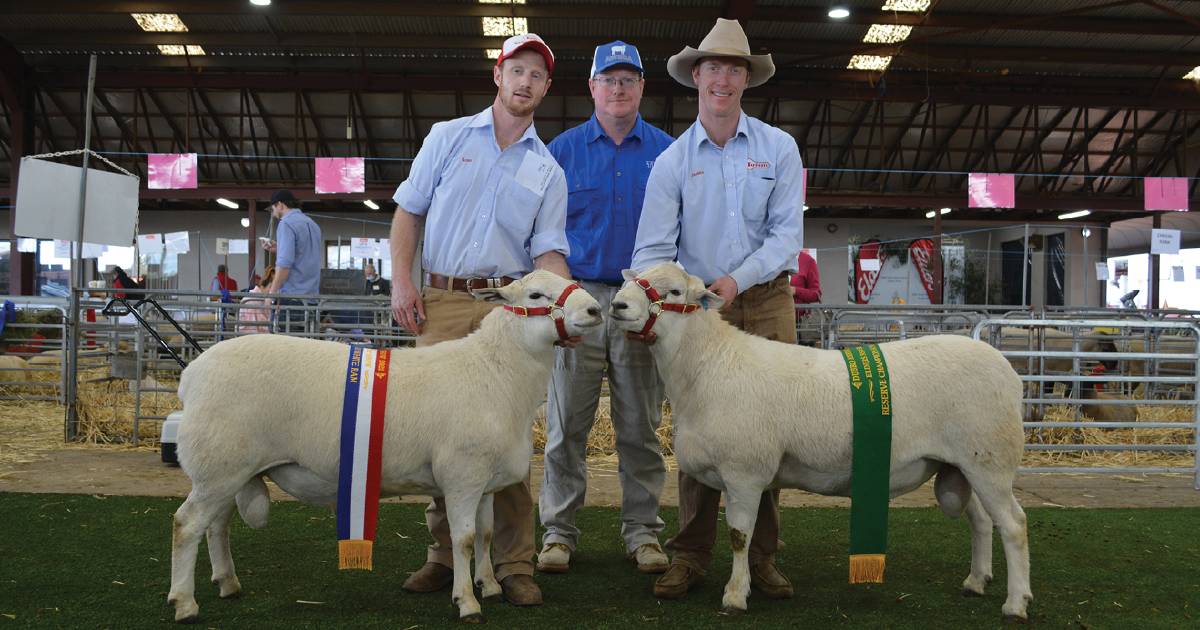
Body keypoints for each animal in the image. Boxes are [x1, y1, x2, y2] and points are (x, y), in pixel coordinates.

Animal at [166, 270, 600, 619]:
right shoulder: (462, 475)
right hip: (219, 464)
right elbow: (463, 540)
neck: (497, 371)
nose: (595, 310)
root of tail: (191, 375)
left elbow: (487, 534)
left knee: (217, 525)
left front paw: (490, 586)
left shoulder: (486, 481)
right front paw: (467, 602)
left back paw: (227, 583)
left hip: (228, 469)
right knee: (186, 525)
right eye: (536, 296)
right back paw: (185, 603)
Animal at [609, 261, 1032, 619]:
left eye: (675, 291)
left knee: (1013, 524)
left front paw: (735, 595)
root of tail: (1010, 373)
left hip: (990, 458)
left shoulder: (744, 472)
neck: (709, 364)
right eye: (637, 277)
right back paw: (976, 582)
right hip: (961, 463)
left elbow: (739, 536)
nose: (618, 304)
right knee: (981, 520)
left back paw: (1015, 603)